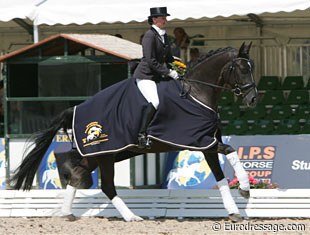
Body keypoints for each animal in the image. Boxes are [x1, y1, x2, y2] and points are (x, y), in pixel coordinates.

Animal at [9, 41, 256, 222]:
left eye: (252, 67)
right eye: (242, 69)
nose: (253, 100)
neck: (196, 93)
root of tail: (76, 108)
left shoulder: (207, 144)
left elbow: (222, 175)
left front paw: (234, 210)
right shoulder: (200, 141)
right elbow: (231, 151)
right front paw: (244, 189)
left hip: (99, 154)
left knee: (79, 175)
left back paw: (67, 213)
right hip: (106, 154)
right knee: (107, 186)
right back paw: (132, 217)